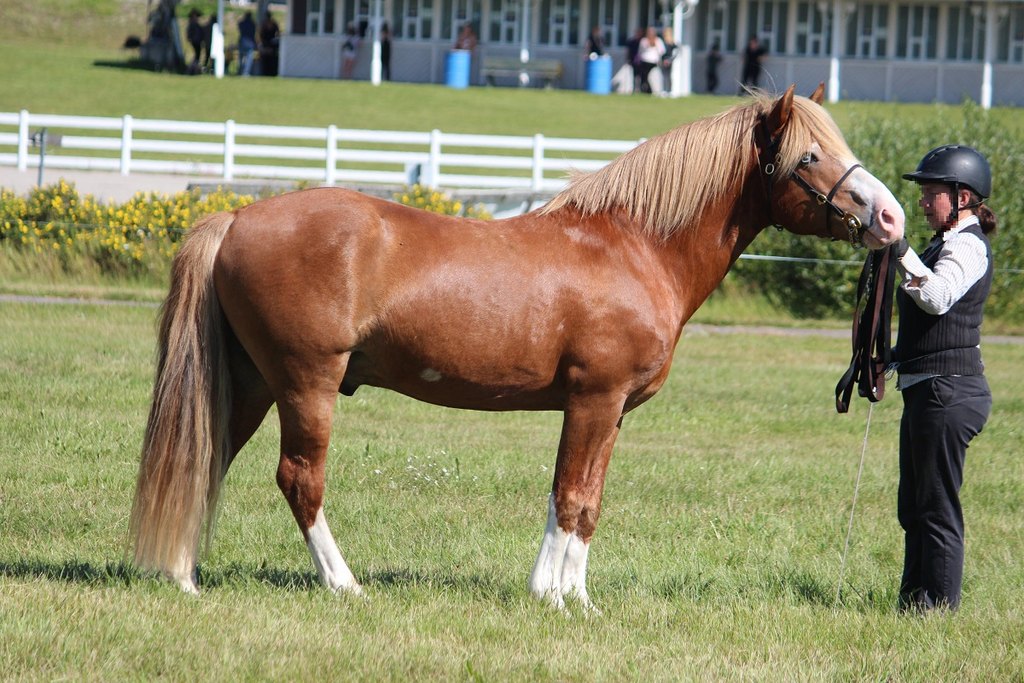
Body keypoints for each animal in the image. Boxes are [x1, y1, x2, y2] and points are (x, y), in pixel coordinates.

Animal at [129, 85, 905, 609]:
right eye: (810, 155)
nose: (892, 218)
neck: (634, 245)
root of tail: (236, 217)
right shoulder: (593, 400)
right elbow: (570, 495)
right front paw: (550, 596)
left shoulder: (611, 414)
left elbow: (589, 500)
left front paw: (578, 598)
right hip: (304, 383)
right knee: (299, 478)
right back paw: (343, 584)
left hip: (251, 381)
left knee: (206, 457)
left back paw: (183, 576)